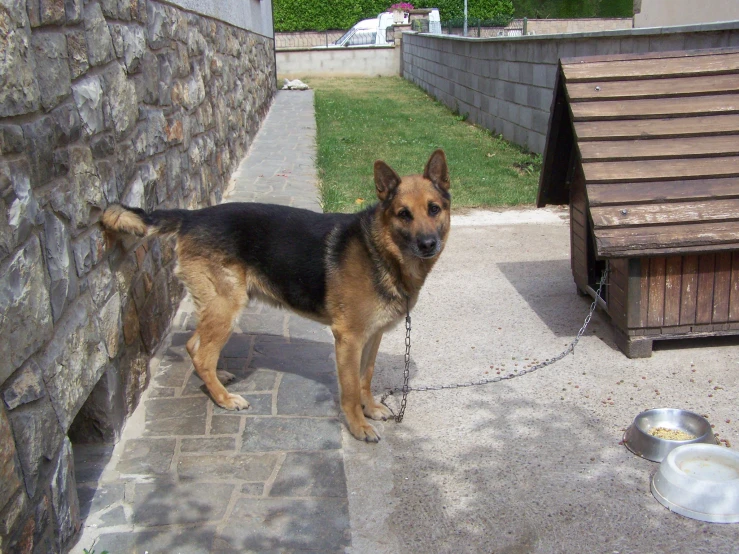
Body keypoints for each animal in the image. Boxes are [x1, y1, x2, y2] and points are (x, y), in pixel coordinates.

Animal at [102, 150, 450, 440]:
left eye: (434, 209)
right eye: (404, 214)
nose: (428, 244)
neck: (379, 250)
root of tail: (192, 216)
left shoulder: (371, 336)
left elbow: (366, 377)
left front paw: (371, 409)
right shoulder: (349, 339)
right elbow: (350, 389)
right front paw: (357, 426)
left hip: (217, 308)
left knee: (195, 346)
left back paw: (218, 379)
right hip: (226, 307)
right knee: (200, 353)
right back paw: (224, 398)